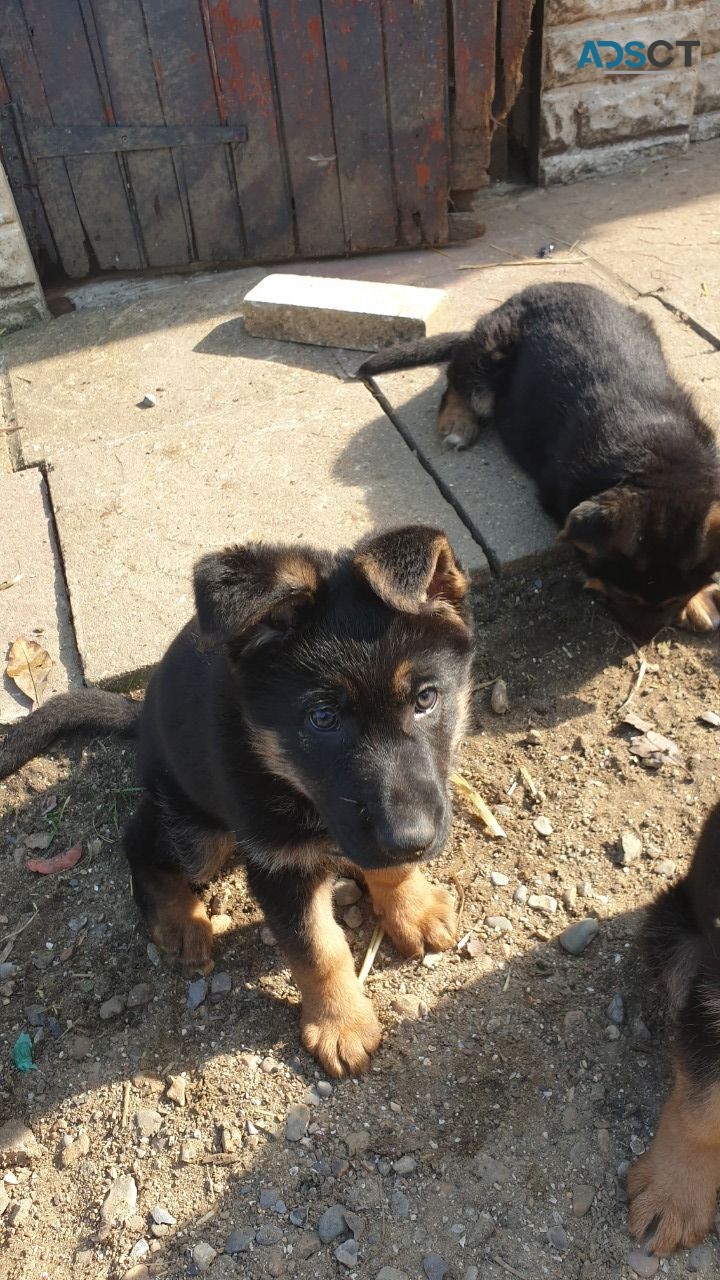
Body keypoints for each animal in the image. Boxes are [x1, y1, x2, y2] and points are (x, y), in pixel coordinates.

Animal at [0, 524, 474, 1075]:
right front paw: (341, 1024)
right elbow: (318, 949)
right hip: (198, 832)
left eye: (426, 699)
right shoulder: (277, 865)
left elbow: (387, 868)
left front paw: (410, 906)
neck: (289, 779)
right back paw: (180, 918)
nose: (412, 840)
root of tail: (142, 716)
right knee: (139, 840)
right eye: (322, 719)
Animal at [358, 280, 717, 640]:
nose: (642, 639)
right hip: (489, 353)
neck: (657, 455)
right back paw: (459, 422)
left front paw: (699, 601)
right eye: (625, 593)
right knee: (456, 380)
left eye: (677, 597)